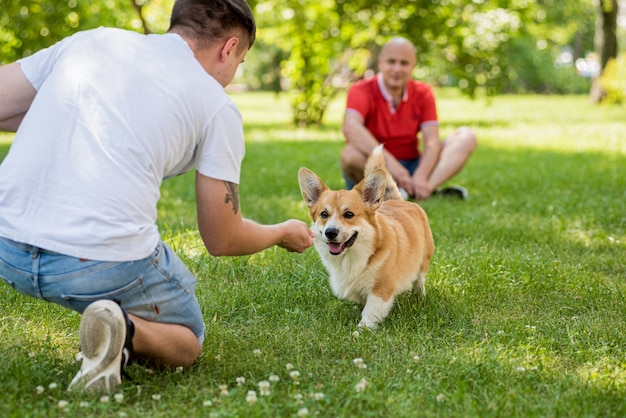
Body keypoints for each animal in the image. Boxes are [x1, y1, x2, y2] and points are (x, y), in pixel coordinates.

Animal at [298, 145, 434, 328]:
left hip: (424, 260)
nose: (330, 232)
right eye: (324, 214)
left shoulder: (381, 290)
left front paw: (361, 330)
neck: (351, 258)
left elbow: (370, 313)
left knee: (419, 280)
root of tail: (399, 201)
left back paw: (419, 296)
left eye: (349, 214)